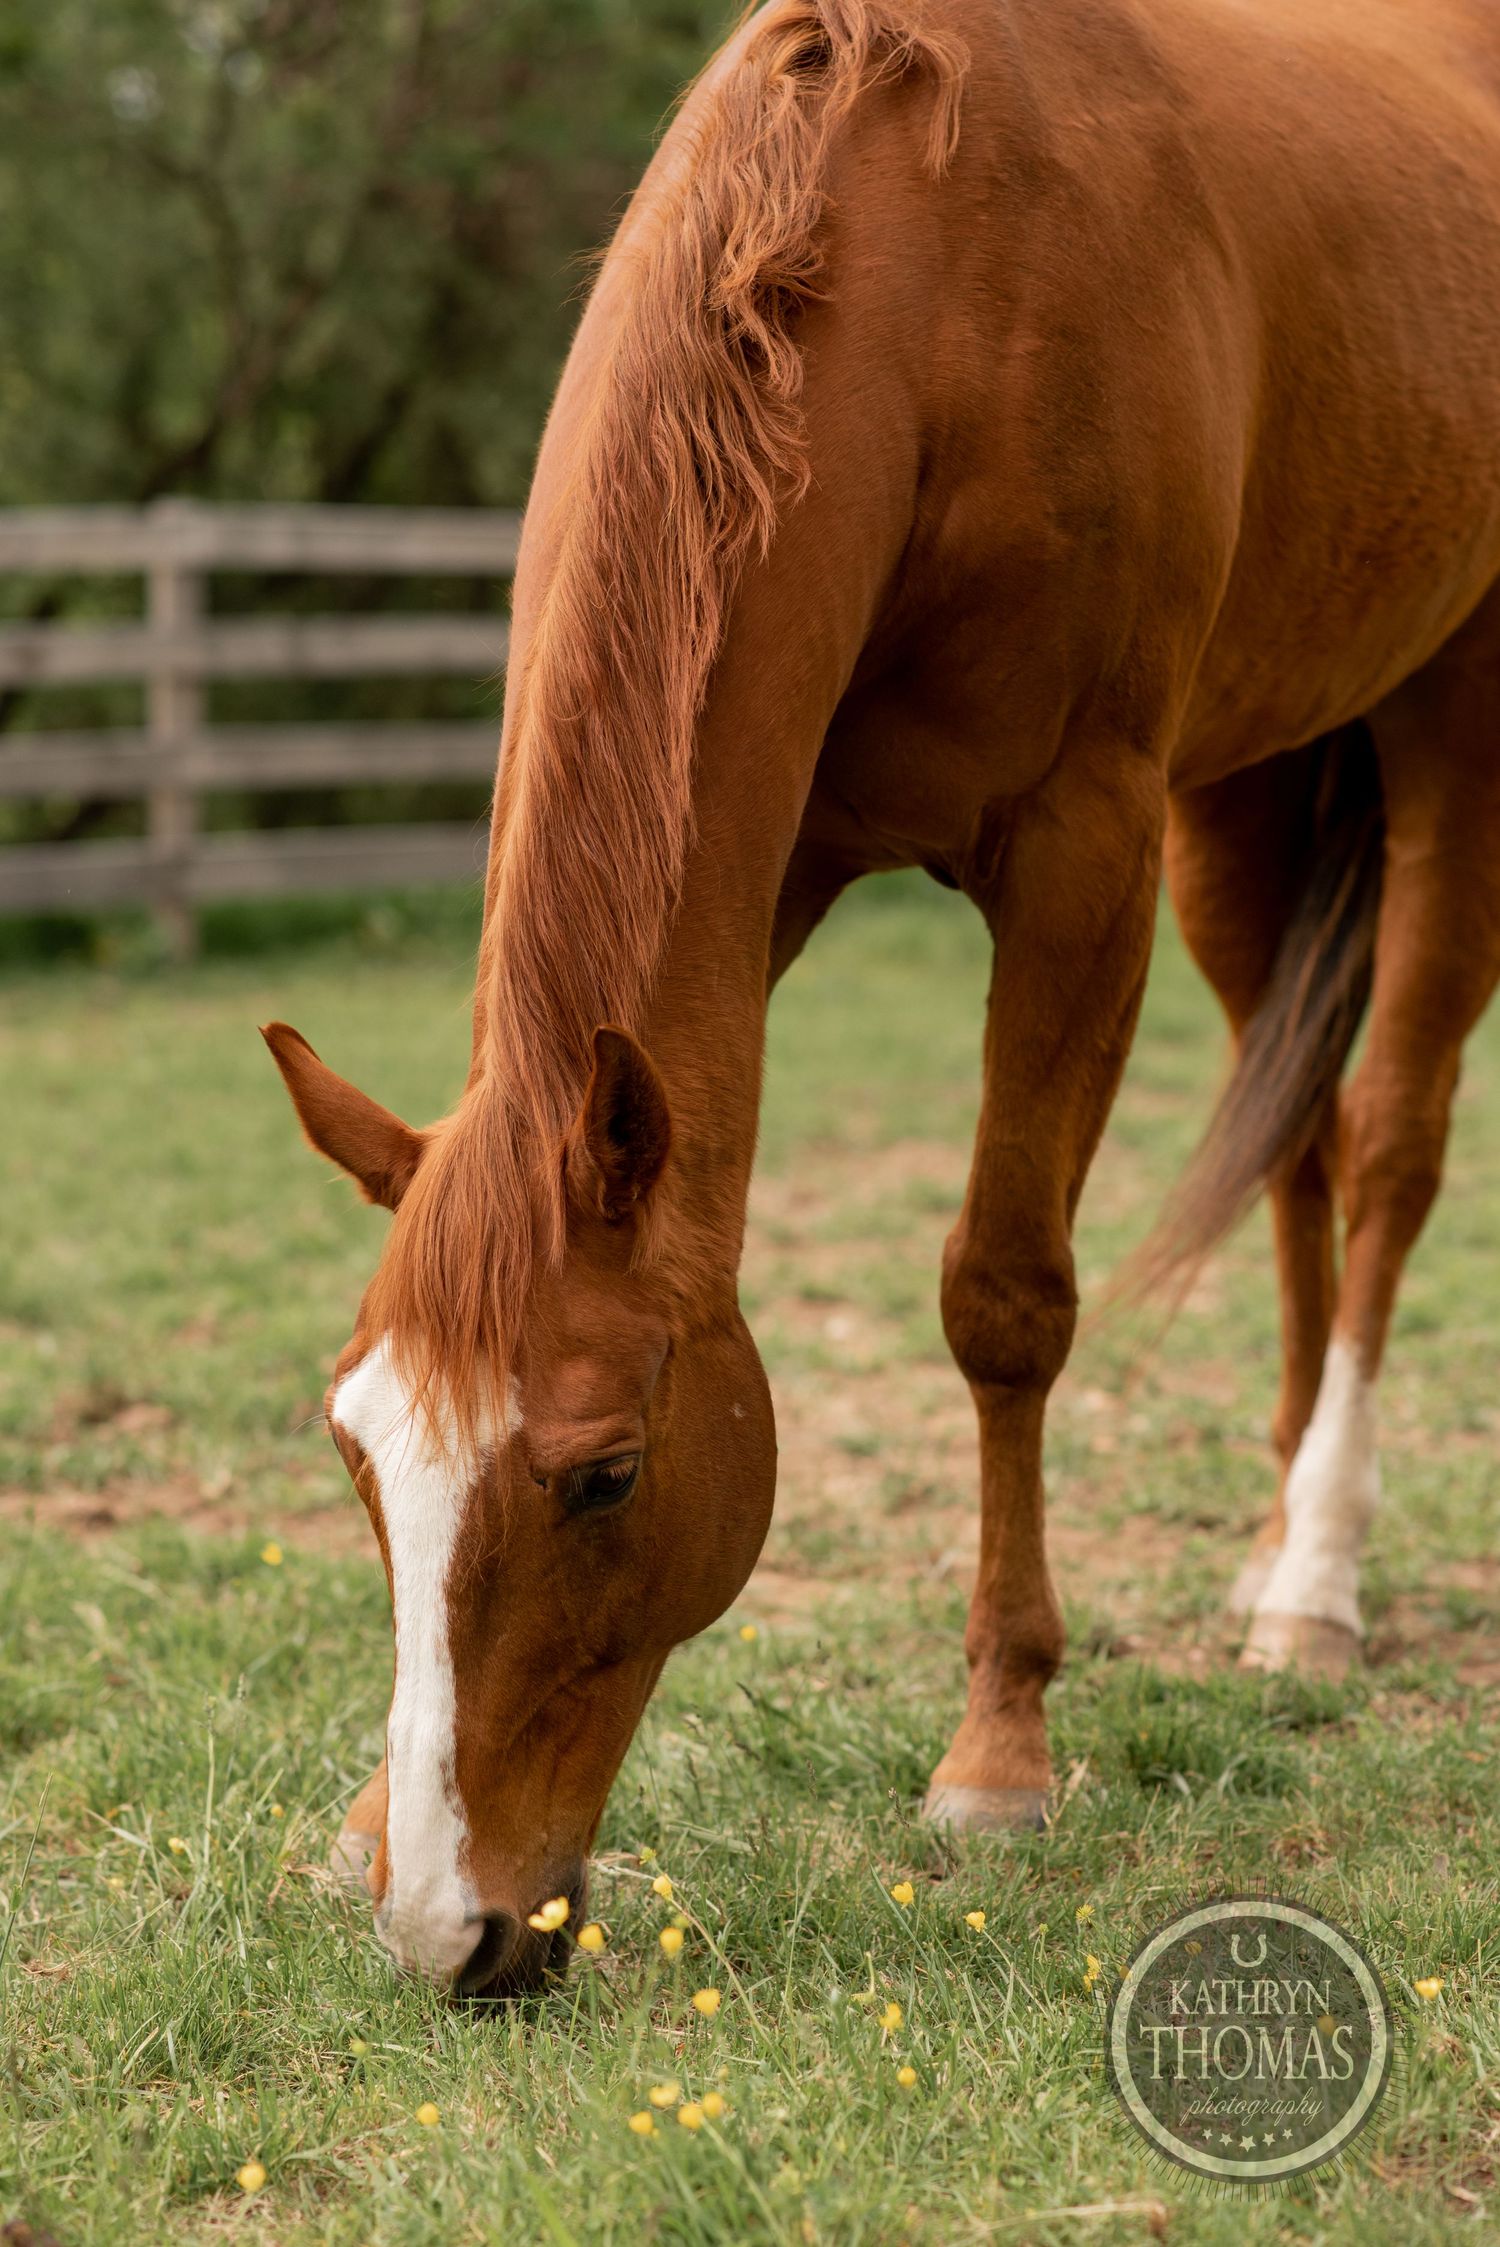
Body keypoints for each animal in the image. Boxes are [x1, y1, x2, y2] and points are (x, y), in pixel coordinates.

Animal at [264, 0, 1500, 1996]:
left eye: (606, 1476)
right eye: (357, 1454)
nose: (453, 1927)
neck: (942, 279)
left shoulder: (1083, 851)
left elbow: (1005, 1300)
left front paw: (999, 1750)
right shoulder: (769, 876)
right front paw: (373, 1820)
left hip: (1444, 731)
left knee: (1387, 1143)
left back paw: (1321, 1567)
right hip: (1251, 803)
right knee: (1299, 1143)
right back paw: (1272, 1555)